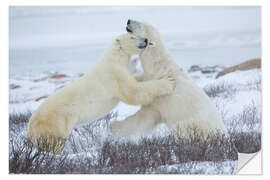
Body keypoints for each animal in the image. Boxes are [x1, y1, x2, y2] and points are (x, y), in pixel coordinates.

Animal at [26, 33, 175, 153]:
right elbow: (133, 92)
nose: (146, 39)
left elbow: (135, 81)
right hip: (55, 123)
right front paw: (168, 82)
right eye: (133, 36)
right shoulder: (114, 75)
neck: (113, 58)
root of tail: (30, 129)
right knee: (53, 142)